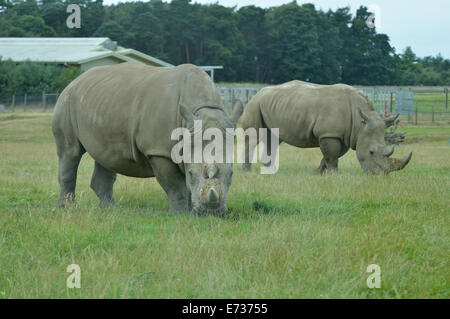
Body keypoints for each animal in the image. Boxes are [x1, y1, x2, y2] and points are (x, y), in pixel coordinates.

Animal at [51, 62, 243, 215]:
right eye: (191, 174)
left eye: (232, 174)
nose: (212, 213)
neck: (203, 111)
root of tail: (75, 81)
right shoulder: (159, 151)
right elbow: (176, 186)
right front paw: (180, 215)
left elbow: (186, 187)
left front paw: (190, 212)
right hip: (66, 101)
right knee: (70, 152)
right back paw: (68, 208)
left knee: (106, 157)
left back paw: (110, 210)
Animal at [241, 80, 414, 175]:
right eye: (371, 152)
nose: (379, 175)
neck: (360, 123)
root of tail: (258, 92)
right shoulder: (329, 133)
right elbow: (331, 157)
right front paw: (334, 175)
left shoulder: (345, 135)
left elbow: (331, 156)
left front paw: (316, 173)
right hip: (255, 104)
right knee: (254, 136)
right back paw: (248, 172)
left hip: (274, 104)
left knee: (275, 138)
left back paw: (269, 169)